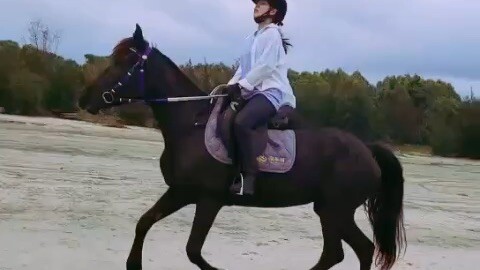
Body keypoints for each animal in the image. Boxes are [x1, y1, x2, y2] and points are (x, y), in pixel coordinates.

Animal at [78, 23, 404, 270]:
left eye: (124, 63)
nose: (85, 99)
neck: (191, 125)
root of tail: (367, 149)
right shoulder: (180, 192)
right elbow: (144, 223)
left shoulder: (209, 200)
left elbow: (193, 250)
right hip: (330, 210)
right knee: (352, 251)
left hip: (336, 211)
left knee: (346, 252)